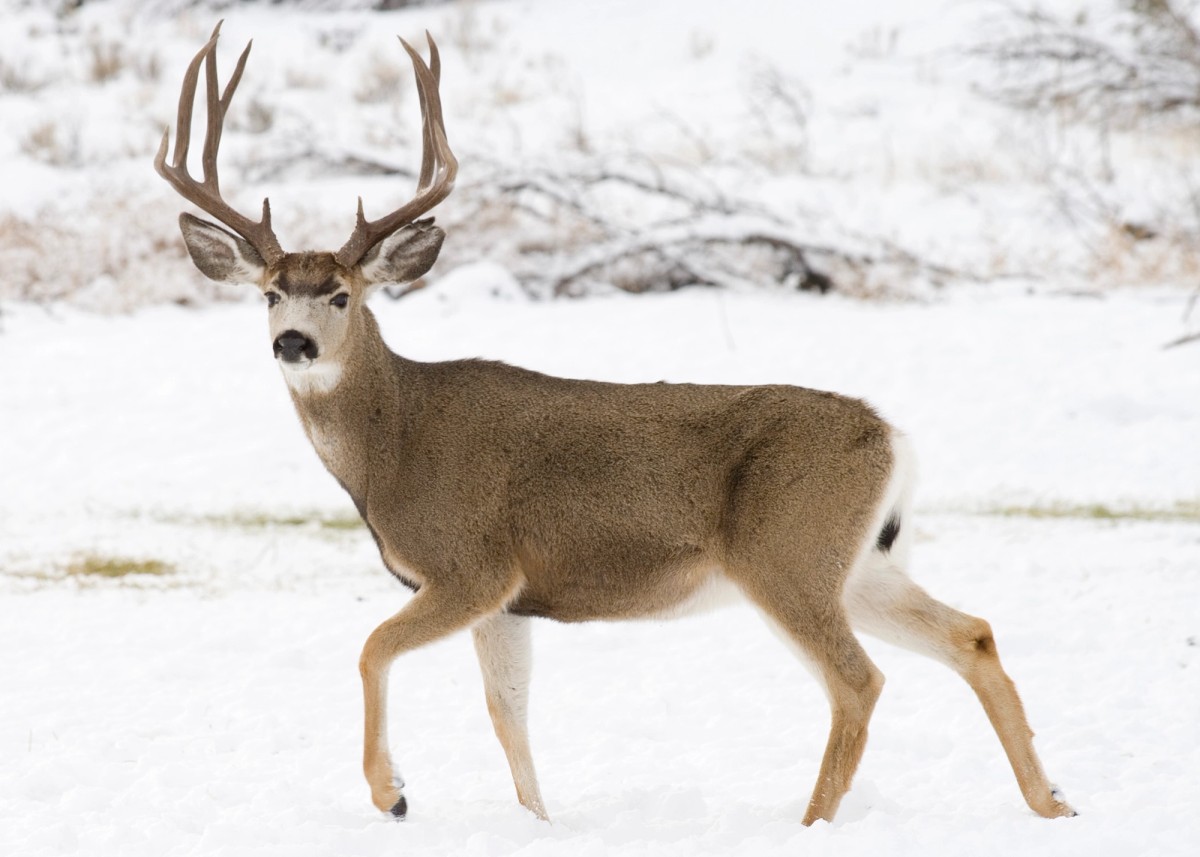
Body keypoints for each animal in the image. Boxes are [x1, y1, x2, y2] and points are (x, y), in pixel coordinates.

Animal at [155, 23, 1076, 827]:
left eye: (343, 293)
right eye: (270, 292)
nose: (294, 342)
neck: (394, 444)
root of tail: (891, 437)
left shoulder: (471, 565)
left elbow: (373, 648)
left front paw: (394, 794)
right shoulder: (511, 600)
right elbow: (508, 713)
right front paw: (539, 822)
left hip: (787, 553)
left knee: (860, 680)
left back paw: (812, 821)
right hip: (860, 560)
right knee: (973, 634)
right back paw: (1054, 800)